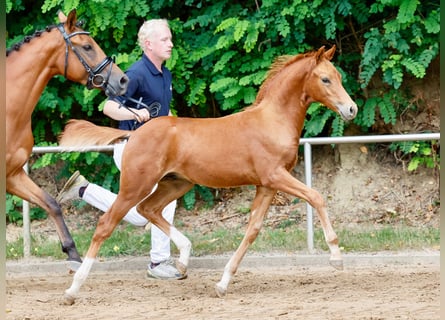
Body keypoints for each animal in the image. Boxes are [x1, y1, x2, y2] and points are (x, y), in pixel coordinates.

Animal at [59, 45, 358, 302]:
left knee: (148, 210)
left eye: (338, 77)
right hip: (137, 184)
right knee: (106, 224)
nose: (351, 109)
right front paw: (336, 257)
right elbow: (316, 196)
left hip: (176, 184)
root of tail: (133, 135)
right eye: (325, 79)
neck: (272, 120)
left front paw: (223, 283)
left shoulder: (266, 185)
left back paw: (183, 258)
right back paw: (73, 288)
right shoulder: (275, 176)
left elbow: (252, 229)